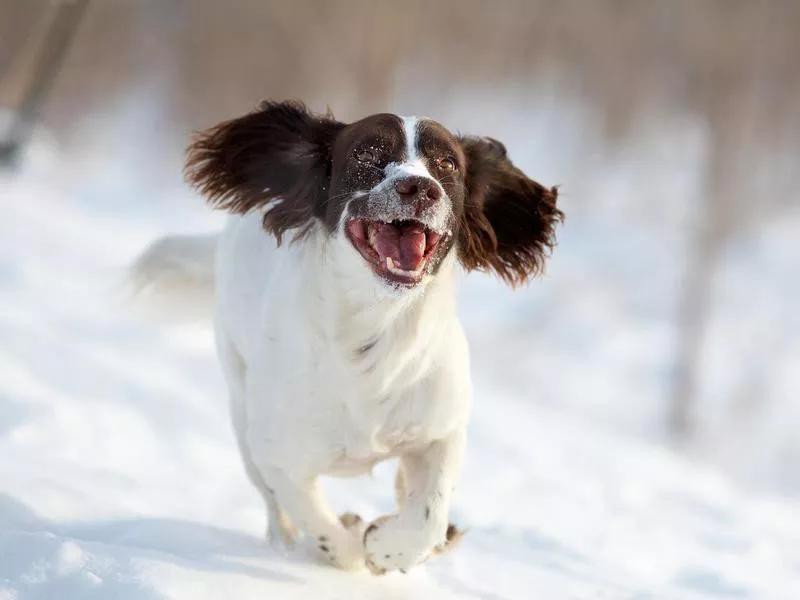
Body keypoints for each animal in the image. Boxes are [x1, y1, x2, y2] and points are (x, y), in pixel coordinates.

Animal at [131, 101, 560, 576]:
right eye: (367, 153)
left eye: (448, 163)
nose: (420, 188)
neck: (375, 332)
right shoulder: (277, 454)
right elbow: (317, 523)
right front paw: (353, 547)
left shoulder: (442, 430)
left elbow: (426, 516)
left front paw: (388, 546)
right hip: (241, 406)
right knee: (274, 506)